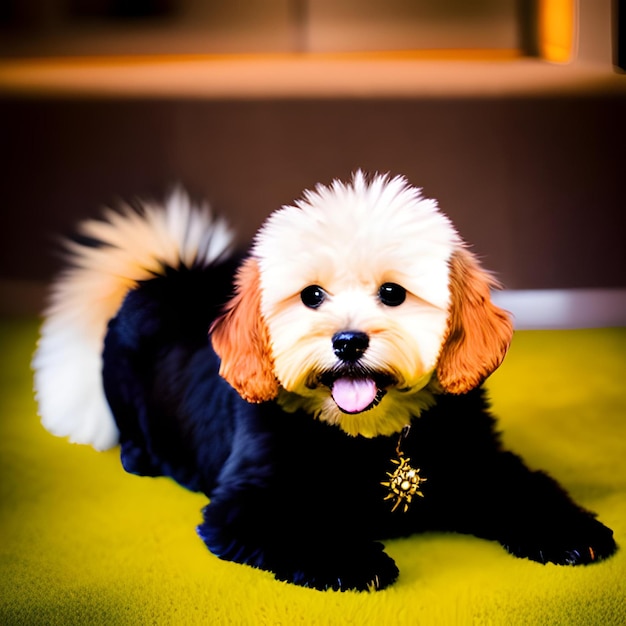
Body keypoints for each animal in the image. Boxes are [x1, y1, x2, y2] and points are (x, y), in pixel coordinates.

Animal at [34, 172, 616, 588]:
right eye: (311, 295)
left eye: (393, 293)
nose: (348, 342)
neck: (367, 438)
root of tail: (169, 275)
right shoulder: (246, 500)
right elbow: (296, 521)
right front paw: (352, 560)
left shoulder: (479, 459)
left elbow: (523, 487)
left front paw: (570, 530)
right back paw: (140, 457)